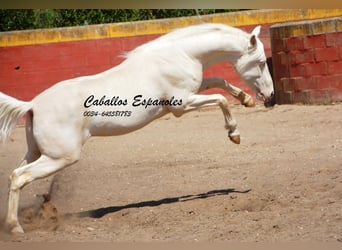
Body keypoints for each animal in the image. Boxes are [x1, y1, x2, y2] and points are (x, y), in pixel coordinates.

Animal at [0, 22, 272, 233]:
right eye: (260, 62)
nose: (268, 95)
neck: (181, 55)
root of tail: (33, 105)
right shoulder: (181, 105)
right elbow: (220, 99)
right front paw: (234, 133)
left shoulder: (193, 91)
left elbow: (219, 82)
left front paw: (245, 100)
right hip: (62, 157)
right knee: (20, 177)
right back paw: (16, 228)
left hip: (37, 153)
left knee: (16, 174)